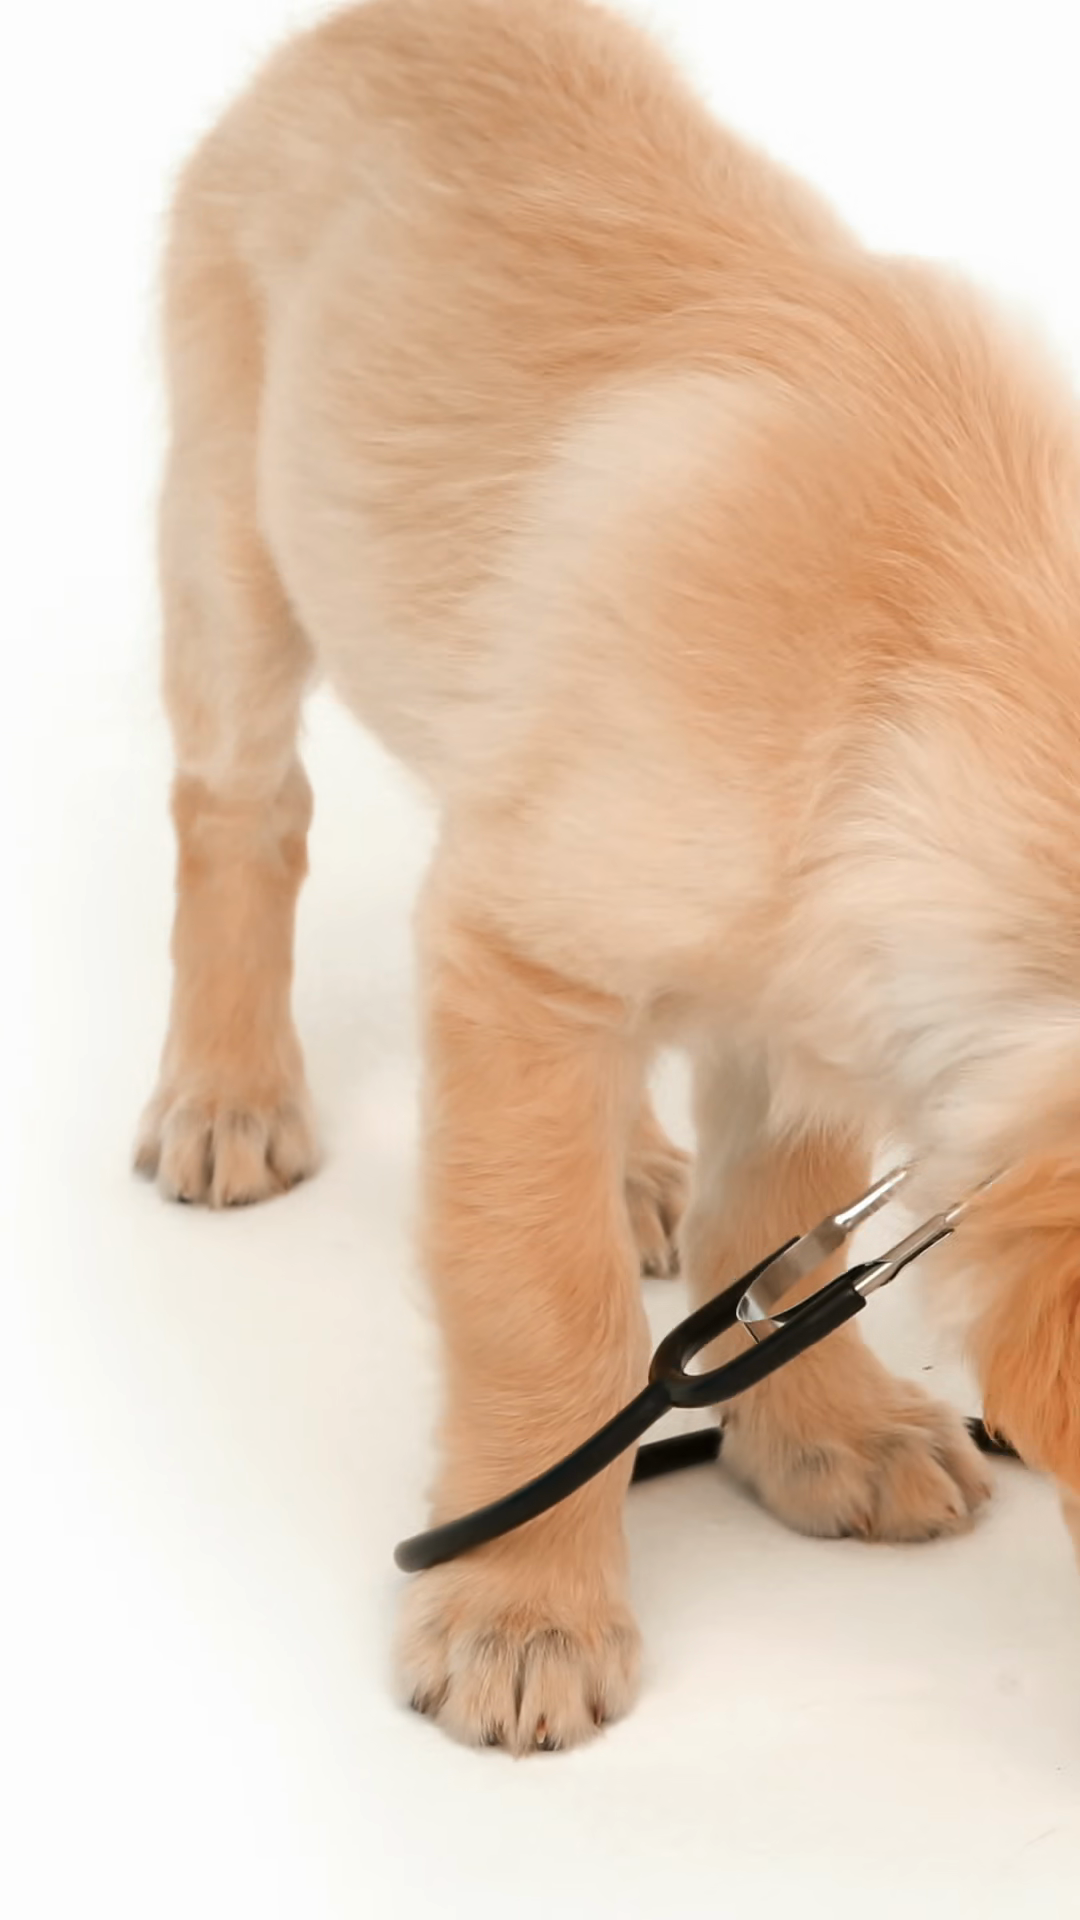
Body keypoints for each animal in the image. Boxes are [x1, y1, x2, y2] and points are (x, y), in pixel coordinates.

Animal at [138, 0, 1080, 1753]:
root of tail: (377, 20)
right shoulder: (510, 951)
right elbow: (542, 1301)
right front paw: (521, 1606)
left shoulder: (808, 989)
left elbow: (772, 1224)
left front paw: (822, 1432)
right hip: (234, 538)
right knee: (241, 813)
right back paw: (226, 1092)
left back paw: (634, 1162)